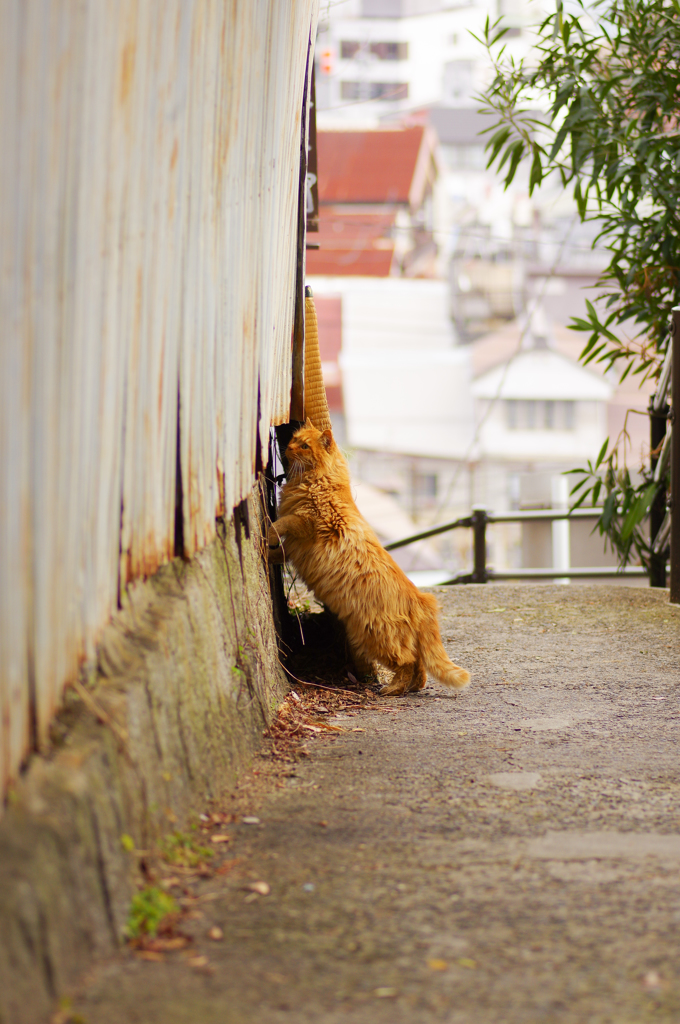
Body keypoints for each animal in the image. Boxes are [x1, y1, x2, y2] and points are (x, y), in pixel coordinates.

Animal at [268, 419, 471, 700]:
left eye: (305, 446)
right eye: (295, 439)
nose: (288, 447)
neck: (319, 481)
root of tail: (422, 600)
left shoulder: (304, 523)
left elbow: (279, 524)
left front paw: (265, 534)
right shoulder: (295, 544)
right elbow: (279, 552)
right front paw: (267, 552)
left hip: (373, 636)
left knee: (407, 662)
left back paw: (392, 689)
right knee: (419, 664)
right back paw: (413, 687)